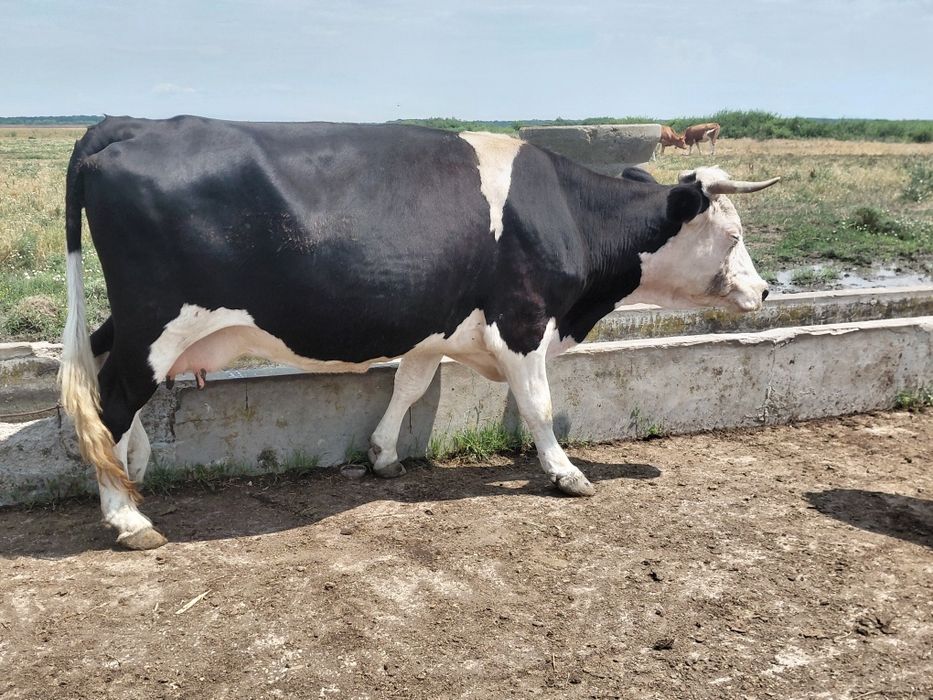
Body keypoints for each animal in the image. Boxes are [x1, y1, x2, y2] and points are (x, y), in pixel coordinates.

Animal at [59, 115, 779, 550]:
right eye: (733, 236)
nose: (767, 290)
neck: (569, 214)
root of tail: (130, 124)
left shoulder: (432, 327)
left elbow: (407, 388)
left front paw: (382, 455)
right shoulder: (522, 322)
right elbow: (539, 405)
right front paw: (565, 473)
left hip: (137, 321)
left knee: (106, 377)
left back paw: (132, 468)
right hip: (157, 319)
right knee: (113, 397)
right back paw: (126, 516)